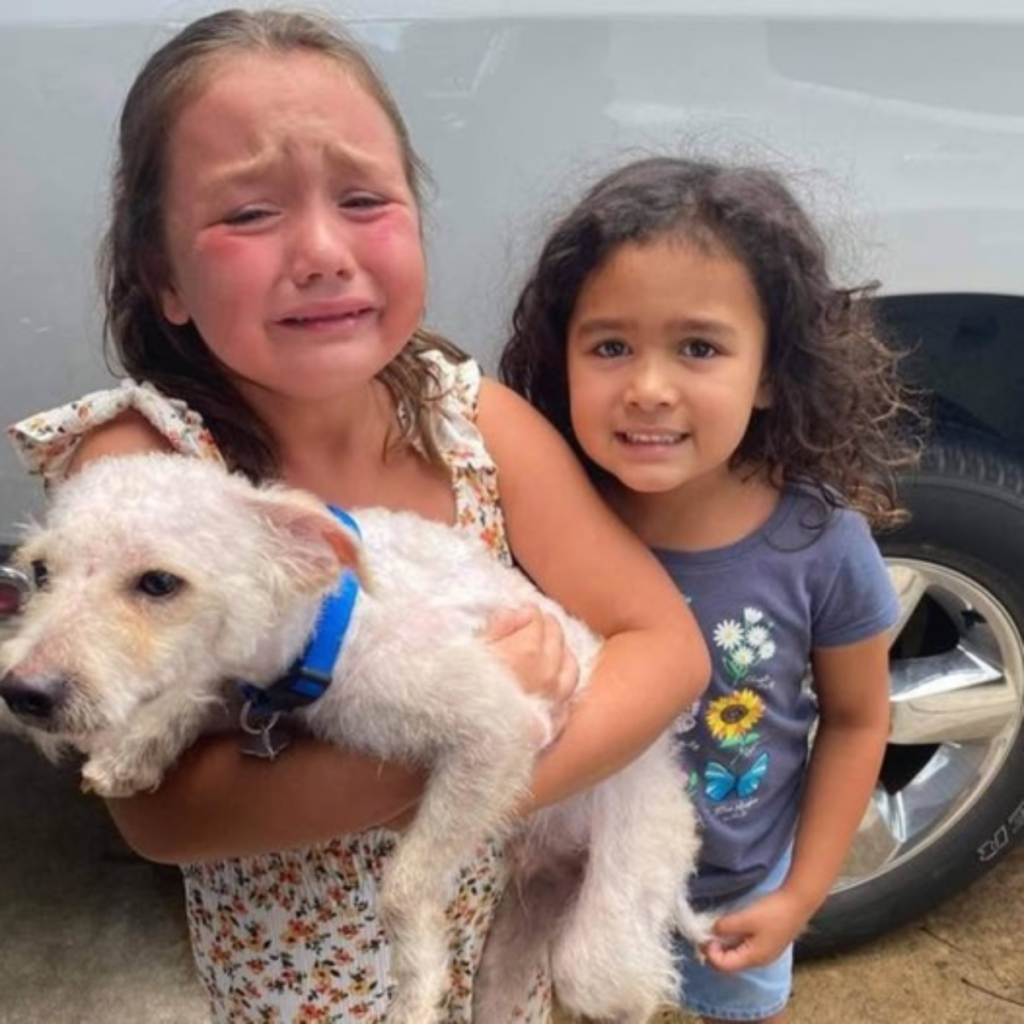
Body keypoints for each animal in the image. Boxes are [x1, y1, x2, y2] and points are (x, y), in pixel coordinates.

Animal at [0, 456, 708, 1024]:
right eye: (40, 572)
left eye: (158, 583)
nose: (21, 692)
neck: (332, 626)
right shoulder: (246, 683)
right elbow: (197, 691)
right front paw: (131, 752)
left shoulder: (496, 731)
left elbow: (403, 887)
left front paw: (416, 993)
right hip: (524, 929)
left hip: (608, 928)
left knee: (631, 988)